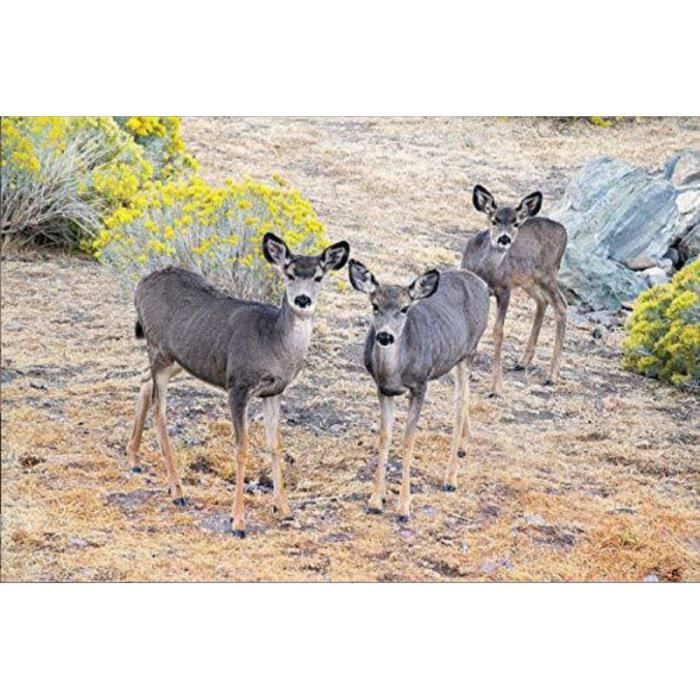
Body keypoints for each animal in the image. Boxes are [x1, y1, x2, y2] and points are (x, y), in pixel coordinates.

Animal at [125, 233, 350, 538]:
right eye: (289, 273)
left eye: (318, 276)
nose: (302, 299)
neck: (274, 343)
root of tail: (141, 283)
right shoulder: (238, 385)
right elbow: (241, 448)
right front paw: (238, 522)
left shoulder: (274, 391)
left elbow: (276, 444)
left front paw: (284, 509)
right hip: (158, 348)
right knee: (160, 413)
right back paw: (177, 490)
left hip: (176, 359)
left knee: (143, 378)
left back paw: (134, 459)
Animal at [348, 259, 489, 522]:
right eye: (375, 305)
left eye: (404, 309)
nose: (385, 335)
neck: (396, 371)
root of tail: (482, 283)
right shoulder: (382, 388)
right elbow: (385, 436)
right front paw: (376, 500)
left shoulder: (420, 385)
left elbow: (408, 439)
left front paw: (404, 508)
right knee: (464, 401)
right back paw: (464, 447)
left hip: (469, 352)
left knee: (459, 404)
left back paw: (450, 478)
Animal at [461, 184, 568, 397]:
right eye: (494, 220)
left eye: (516, 223)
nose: (504, 239)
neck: (485, 271)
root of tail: (564, 231)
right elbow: (476, 325)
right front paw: (468, 371)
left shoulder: (505, 289)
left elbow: (498, 332)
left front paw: (496, 387)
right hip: (530, 280)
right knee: (542, 301)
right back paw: (523, 362)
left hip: (548, 274)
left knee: (561, 306)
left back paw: (552, 375)